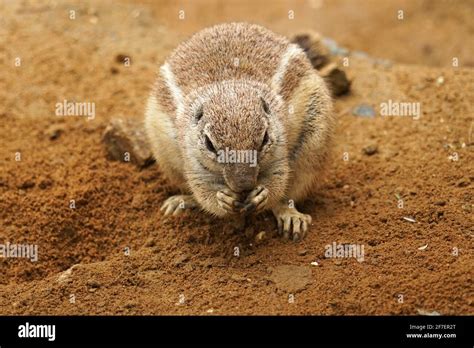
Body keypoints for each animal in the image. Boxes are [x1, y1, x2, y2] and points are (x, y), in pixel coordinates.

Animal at [144, 21, 334, 239]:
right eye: (210, 144)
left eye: (264, 138)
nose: (244, 186)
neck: (230, 88)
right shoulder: (192, 157)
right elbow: (203, 189)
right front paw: (221, 200)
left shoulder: (279, 147)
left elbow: (277, 180)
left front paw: (263, 195)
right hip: (166, 158)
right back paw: (182, 202)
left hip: (313, 145)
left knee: (288, 195)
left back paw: (290, 215)